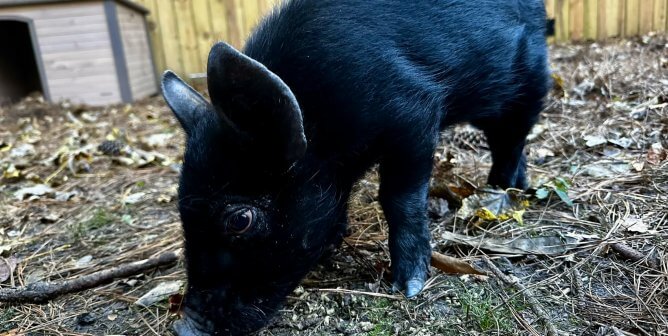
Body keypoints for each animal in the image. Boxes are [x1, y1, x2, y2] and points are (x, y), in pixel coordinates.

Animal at [163, 0, 552, 334]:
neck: (321, 124)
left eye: (240, 219)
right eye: (181, 212)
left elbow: (399, 197)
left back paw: (501, 187)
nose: (184, 327)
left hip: (524, 79)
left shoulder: (412, 114)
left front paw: (407, 287)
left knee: (512, 133)